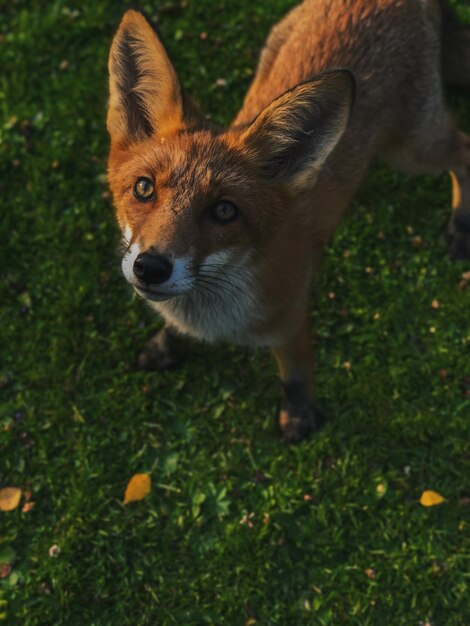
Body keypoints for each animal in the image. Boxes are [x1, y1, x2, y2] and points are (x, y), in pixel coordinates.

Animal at [107, 0, 470, 442]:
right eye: (144, 189)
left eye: (224, 211)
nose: (151, 267)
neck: (214, 316)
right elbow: (175, 332)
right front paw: (166, 346)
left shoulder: (292, 320)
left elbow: (295, 376)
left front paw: (298, 417)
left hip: (410, 150)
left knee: (464, 149)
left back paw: (461, 224)